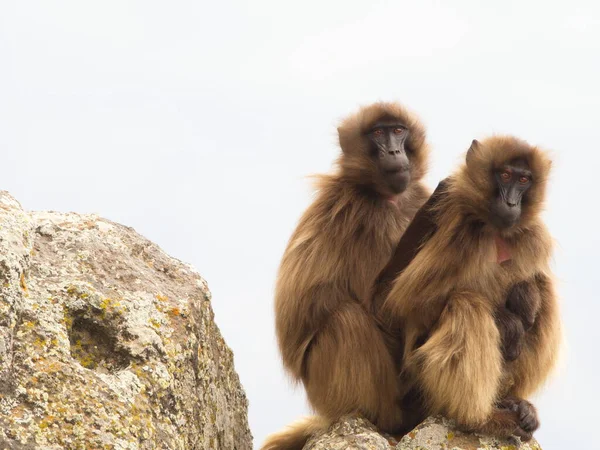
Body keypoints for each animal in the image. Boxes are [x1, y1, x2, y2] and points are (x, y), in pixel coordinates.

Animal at [262, 103, 432, 450]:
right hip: (328, 388)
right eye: (378, 133)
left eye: (398, 130)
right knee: (345, 319)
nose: (394, 151)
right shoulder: (365, 219)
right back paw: (391, 420)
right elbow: (381, 307)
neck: (391, 200)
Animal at [382, 136, 560, 440]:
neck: (496, 232)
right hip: (420, 379)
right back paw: (478, 418)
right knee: (466, 305)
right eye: (504, 175)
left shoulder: (532, 236)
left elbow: (533, 281)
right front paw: (510, 323)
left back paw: (512, 401)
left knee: (545, 290)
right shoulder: (455, 224)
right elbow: (408, 305)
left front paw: (525, 297)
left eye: (524, 179)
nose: (511, 202)